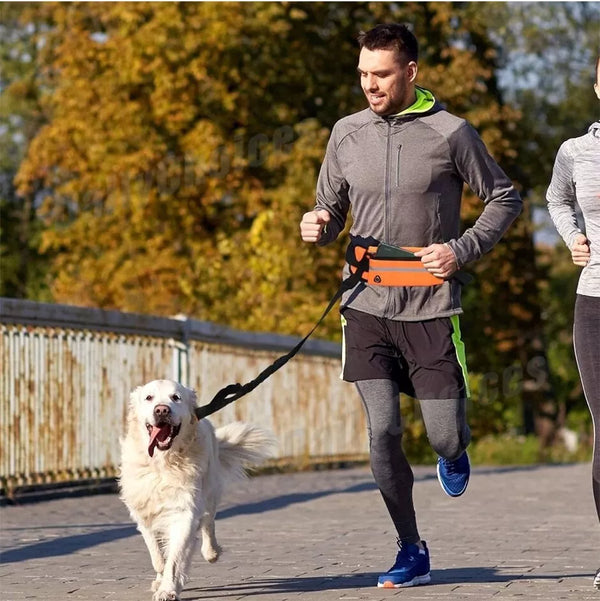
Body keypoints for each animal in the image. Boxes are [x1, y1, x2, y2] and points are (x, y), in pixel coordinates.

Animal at [119, 380, 276, 600]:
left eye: (176, 397)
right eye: (149, 398)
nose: (162, 410)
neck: (164, 462)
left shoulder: (184, 511)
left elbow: (175, 557)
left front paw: (168, 589)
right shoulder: (144, 511)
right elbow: (157, 554)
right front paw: (162, 580)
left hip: (209, 492)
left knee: (208, 523)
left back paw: (211, 553)